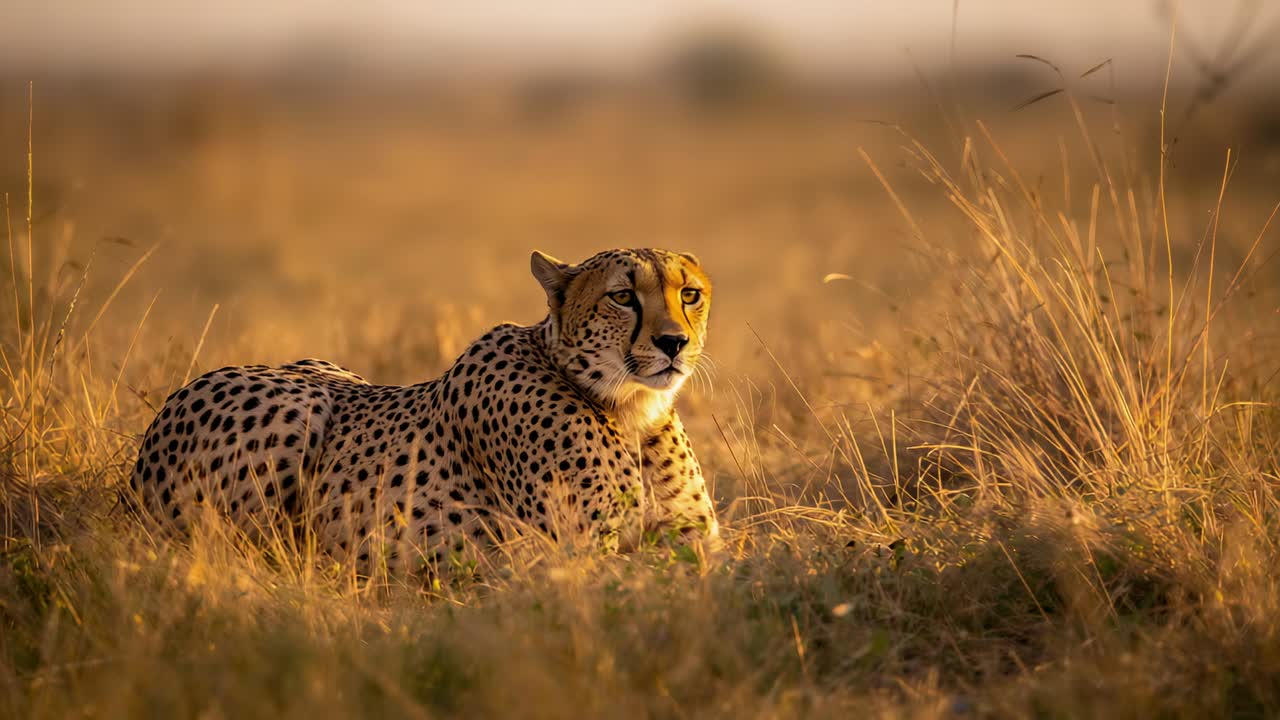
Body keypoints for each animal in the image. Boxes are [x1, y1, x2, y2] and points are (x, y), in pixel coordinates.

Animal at [129, 248, 719, 572]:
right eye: (623, 296)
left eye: (689, 294)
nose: (673, 343)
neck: (628, 406)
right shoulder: (572, 555)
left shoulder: (694, 544)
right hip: (298, 410)